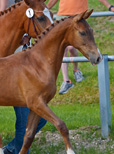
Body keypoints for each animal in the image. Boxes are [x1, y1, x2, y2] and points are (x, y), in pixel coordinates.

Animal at [0, 10, 102, 153]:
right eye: (82, 32)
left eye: (91, 30)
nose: (98, 57)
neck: (37, 64)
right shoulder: (37, 103)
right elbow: (61, 125)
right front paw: (70, 151)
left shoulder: (36, 106)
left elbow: (28, 136)